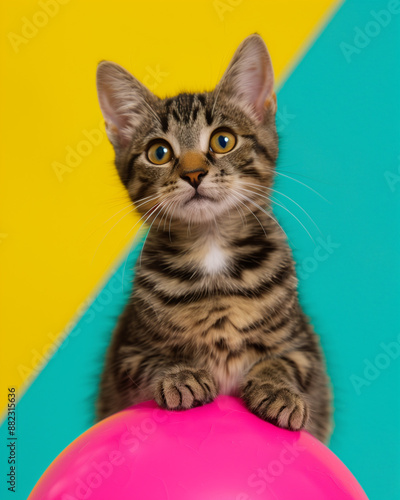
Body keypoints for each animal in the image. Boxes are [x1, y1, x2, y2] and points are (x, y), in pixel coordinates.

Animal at [94, 34, 332, 442]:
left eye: (223, 141)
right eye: (159, 152)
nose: (193, 174)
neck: (211, 249)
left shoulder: (303, 347)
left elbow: (282, 362)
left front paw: (279, 391)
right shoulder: (128, 354)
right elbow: (155, 360)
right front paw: (182, 374)